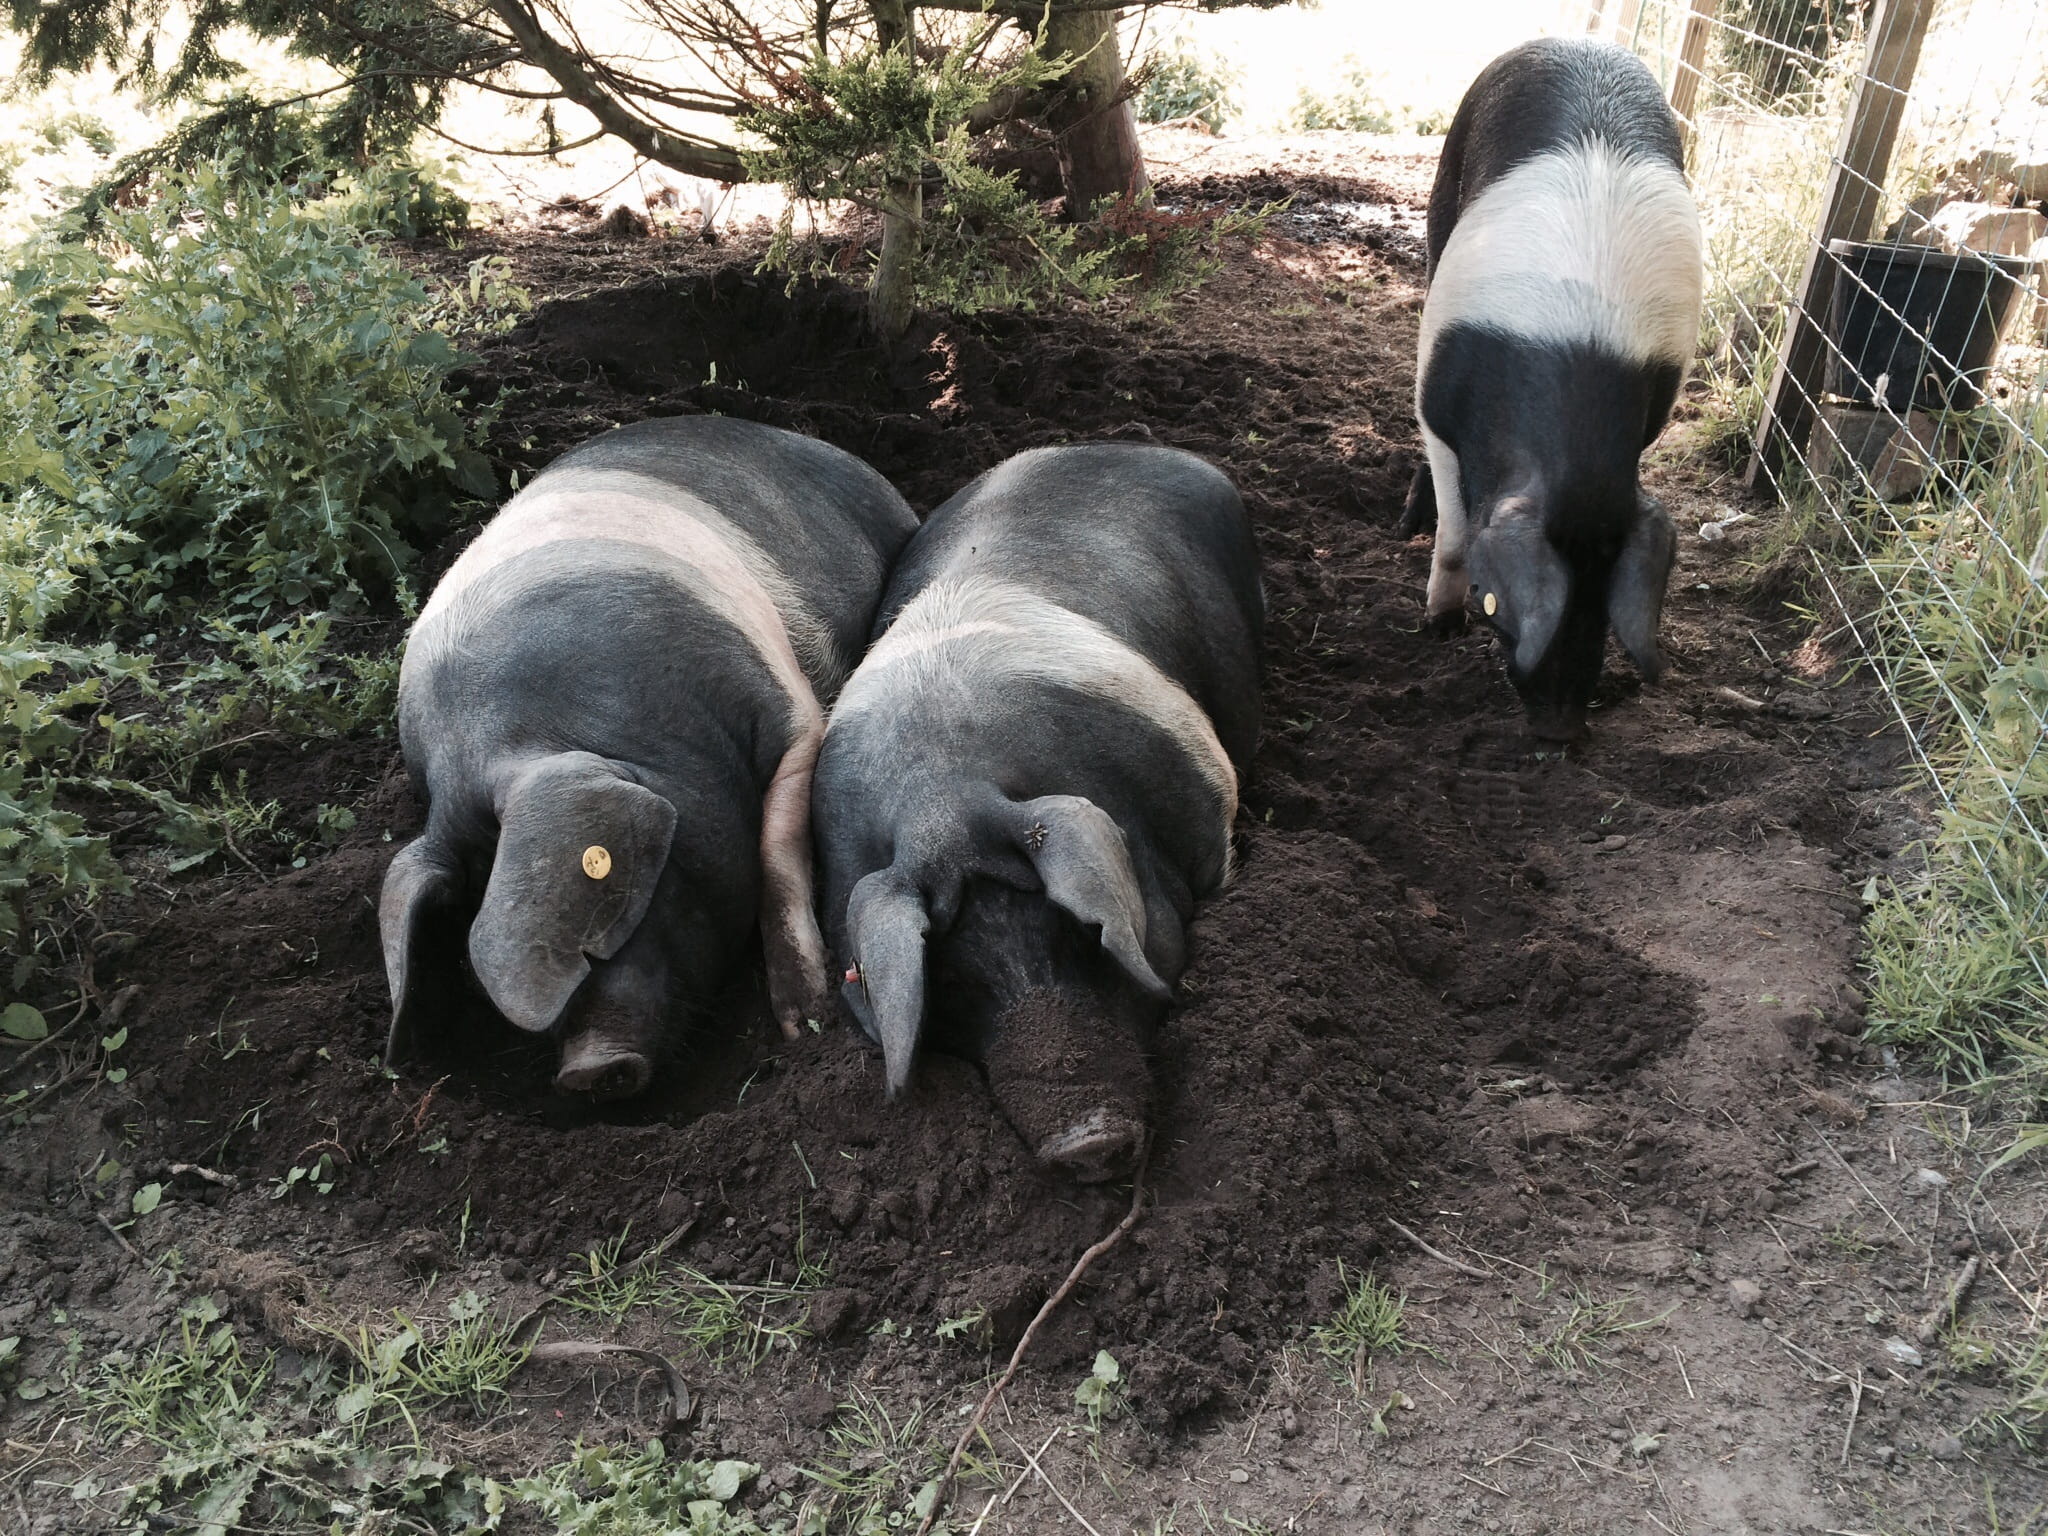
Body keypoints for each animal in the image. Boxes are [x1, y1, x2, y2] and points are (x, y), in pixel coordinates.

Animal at [1399, 37, 1704, 741]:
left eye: (1605, 599)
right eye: (1495, 603)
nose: (1562, 732)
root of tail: (1578, 42)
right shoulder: (1436, 405)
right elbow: (1454, 535)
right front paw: (1438, 629)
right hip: (1443, 196)